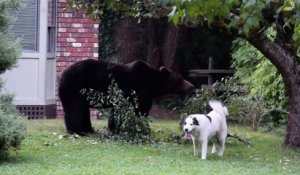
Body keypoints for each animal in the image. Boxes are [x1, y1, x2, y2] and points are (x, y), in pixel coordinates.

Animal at [58, 58, 195, 134]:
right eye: (180, 79)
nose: (191, 86)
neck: (152, 84)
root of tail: (62, 74)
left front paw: (114, 128)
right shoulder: (136, 91)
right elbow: (140, 110)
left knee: (82, 110)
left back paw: (88, 130)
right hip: (74, 88)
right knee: (75, 109)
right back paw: (76, 130)